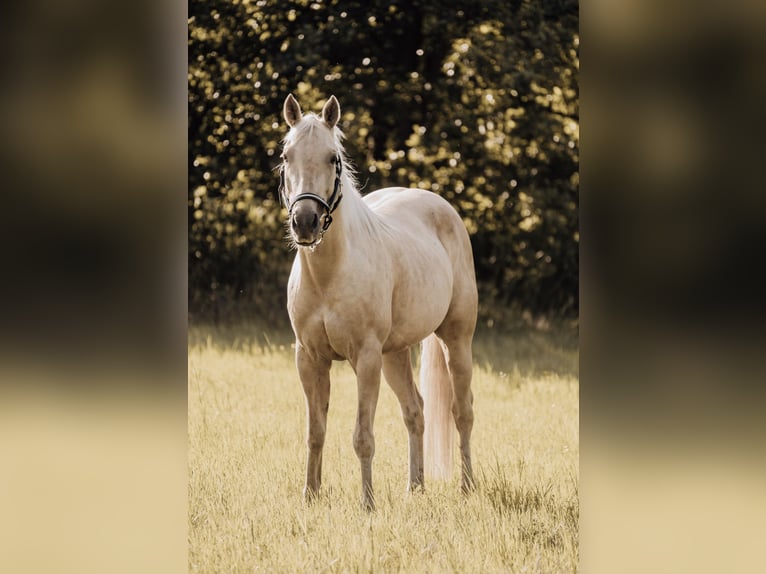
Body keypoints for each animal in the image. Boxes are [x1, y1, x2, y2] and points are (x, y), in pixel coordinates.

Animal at [280, 94, 476, 512]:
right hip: (395, 354)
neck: (330, 273)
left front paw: (367, 504)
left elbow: (362, 437)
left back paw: (468, 487)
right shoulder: (308, 358)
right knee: (415, 411)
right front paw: (310, 496)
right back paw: (415, 487)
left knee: (462, 411)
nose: (305, 222)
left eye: (333, 158)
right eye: (287, 156)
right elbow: (315, 432)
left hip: (456, 340)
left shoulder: (366, 358)